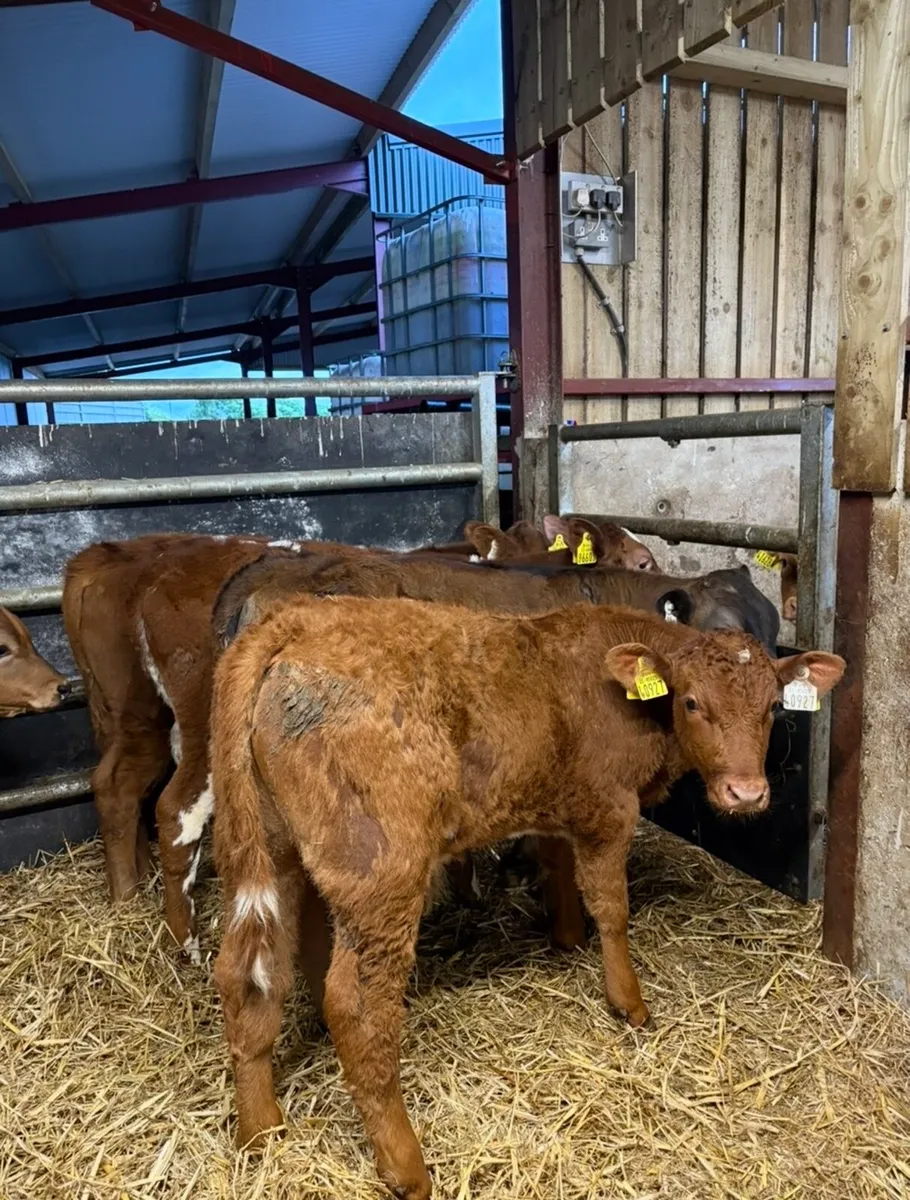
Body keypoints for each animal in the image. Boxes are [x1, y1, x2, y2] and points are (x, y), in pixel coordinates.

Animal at [209, 595, 845, 1197]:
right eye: (691, 702)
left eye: (772, 707)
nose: (747, 792)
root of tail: (293, 619)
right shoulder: (609, 810)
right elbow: (612, 907)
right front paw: (628, 1002)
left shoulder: (563, 807)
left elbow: (559, 867)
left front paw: (567, 938)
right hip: (380, 869)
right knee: (358, 1006)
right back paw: (405, 1165)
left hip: (271, 853)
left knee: (249, 976)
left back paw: (261, 1131)